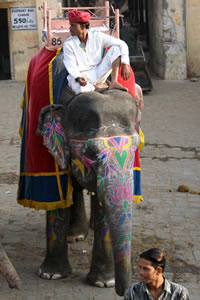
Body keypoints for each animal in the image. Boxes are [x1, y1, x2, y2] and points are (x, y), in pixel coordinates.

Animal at [37, 86, 141, 296]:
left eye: (135, 149)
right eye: (91, 153)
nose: (123, 291)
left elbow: (103, 207)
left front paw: (104, 283)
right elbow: (58, 198)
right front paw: (51, 275)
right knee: (73, 191)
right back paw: (76, 236)